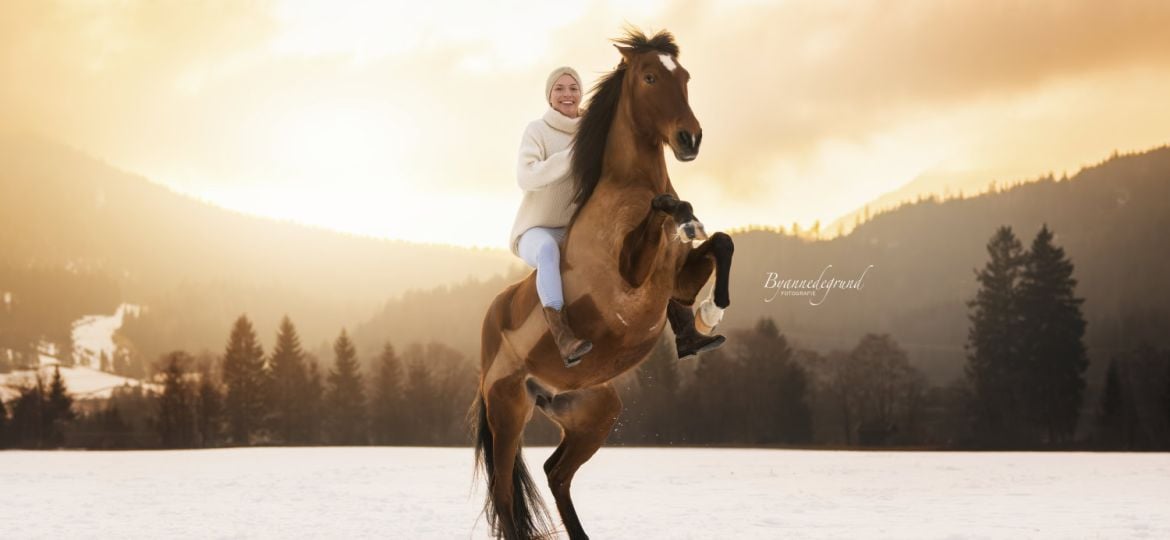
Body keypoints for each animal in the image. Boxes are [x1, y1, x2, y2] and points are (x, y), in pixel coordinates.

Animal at [473, 29, 734, 540]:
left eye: (685, 76)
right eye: (649, 76)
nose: (689, 138)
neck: (624, 189)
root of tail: (489, 323)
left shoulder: (674, 281)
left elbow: (722, 243)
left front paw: (706, 319)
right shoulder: (629, 275)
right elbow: (664, 207)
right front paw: (683, 218)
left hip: (595, 412)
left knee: (555, 473)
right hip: (508, 411)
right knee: (507, 494)